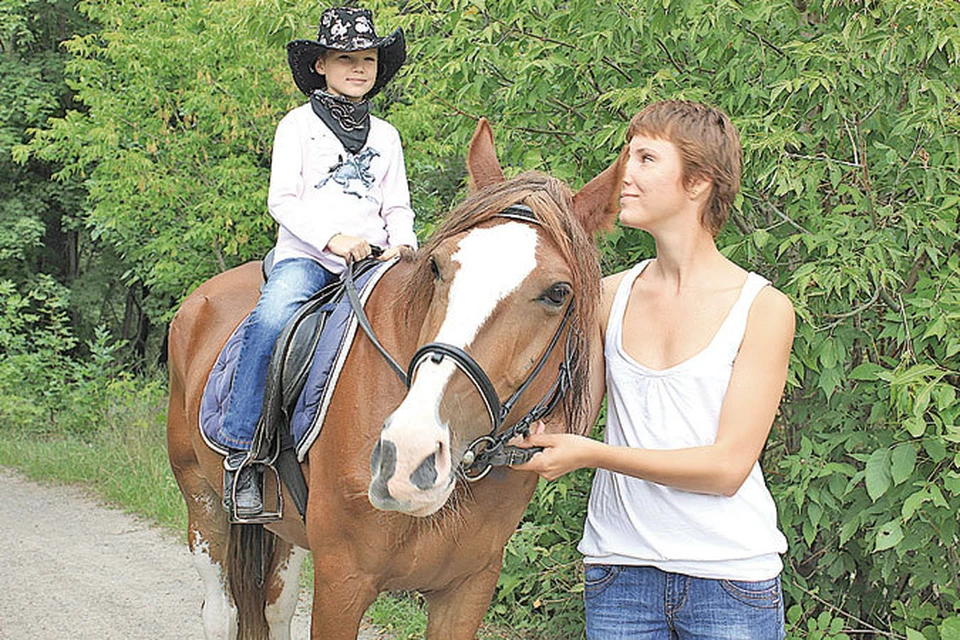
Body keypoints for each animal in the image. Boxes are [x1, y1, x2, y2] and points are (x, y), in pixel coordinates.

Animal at [166, 121, 624, 640]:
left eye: (558, 292)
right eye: (438, 266)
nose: (407, 458)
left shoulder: (468, 589)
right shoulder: (341, 581)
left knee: (275, 606)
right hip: (202, 502)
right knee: (220, 611)